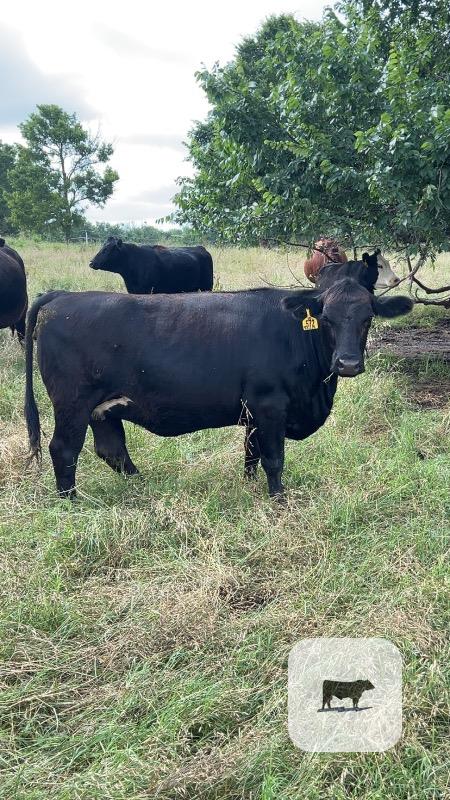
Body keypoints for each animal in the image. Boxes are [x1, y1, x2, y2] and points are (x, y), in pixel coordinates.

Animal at [24, 263, 413, 500]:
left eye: (367, 318)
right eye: (327, 318)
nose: (348, 364)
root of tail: (61, 296)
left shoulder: (253, 412)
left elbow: (251, 454)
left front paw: (250, 488)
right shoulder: (270, 405)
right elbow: (274, 458)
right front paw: (278, 499)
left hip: (104, 409)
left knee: (112, 450)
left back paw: (143, 487)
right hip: (73, 404)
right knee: (64, 450)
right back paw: (71, 501)